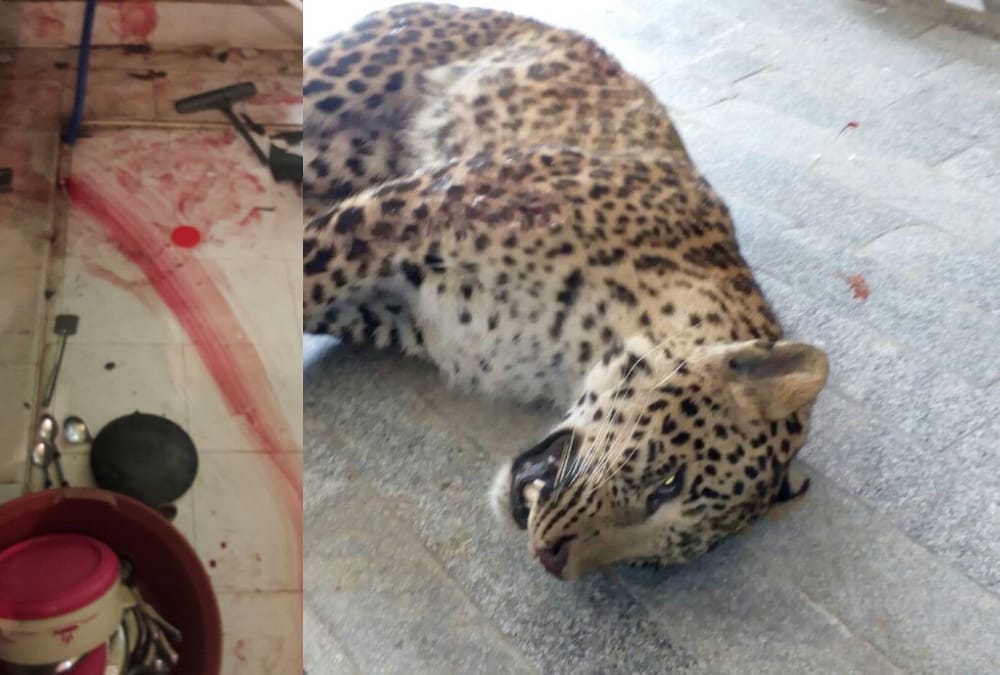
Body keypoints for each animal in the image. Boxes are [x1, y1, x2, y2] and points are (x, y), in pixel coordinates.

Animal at [302, 3, 829, 581]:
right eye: (668, 483)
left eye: (651, 561)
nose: (553, 560)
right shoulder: (412, 209)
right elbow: (309, 267)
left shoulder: (395, 312)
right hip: (347, 76)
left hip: (347, 154)